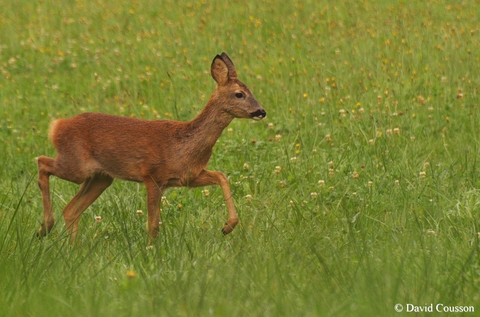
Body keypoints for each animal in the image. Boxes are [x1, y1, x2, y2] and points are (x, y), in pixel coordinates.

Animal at [36, 51, 266, 241]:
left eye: (251, 91)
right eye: (239, 94)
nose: (261, 111)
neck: (184, 143)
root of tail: (57, 126)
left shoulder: (187, 176)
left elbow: (221, 176)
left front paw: (228, 226)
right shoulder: (153, 176)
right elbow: (153, 225)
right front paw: (150, 251)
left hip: (101, 177)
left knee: (70, 209)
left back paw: (72, 246)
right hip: (77, 166)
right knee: (42, 162)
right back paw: (45, 227)